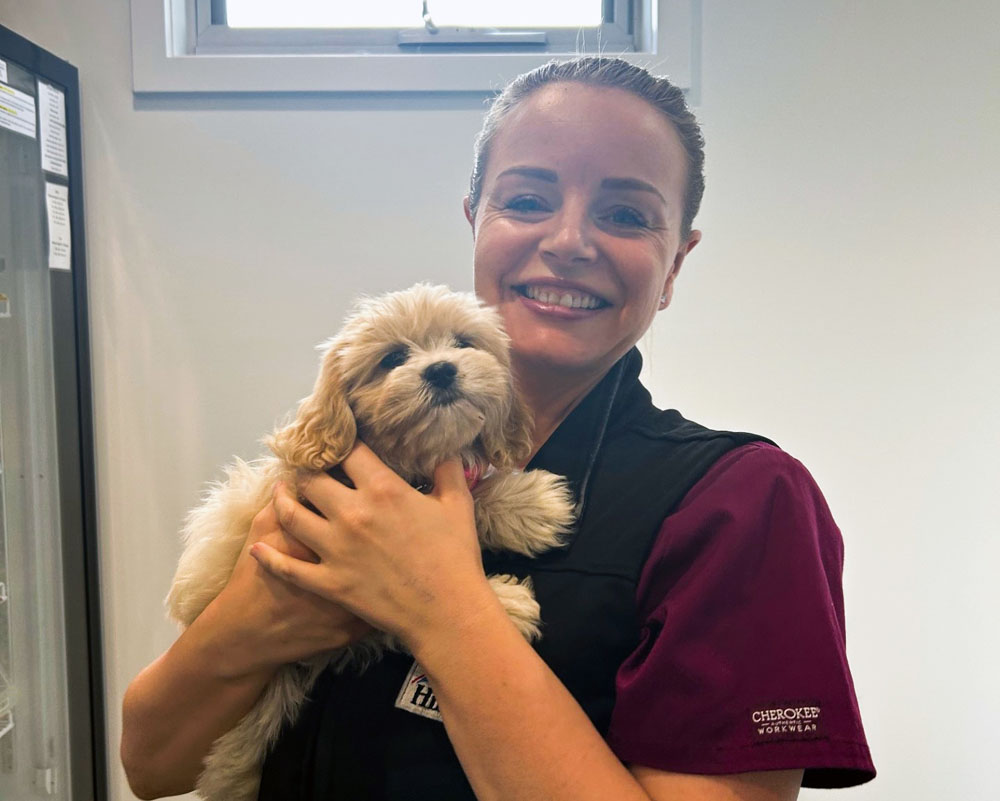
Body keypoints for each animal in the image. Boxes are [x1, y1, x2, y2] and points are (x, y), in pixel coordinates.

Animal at [168, 284, 576, 796]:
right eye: (392, 358)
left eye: (463, 343)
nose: (442, 369)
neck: (407, 463)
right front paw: (503, 601)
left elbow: (473, 499)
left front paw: (530, 503)